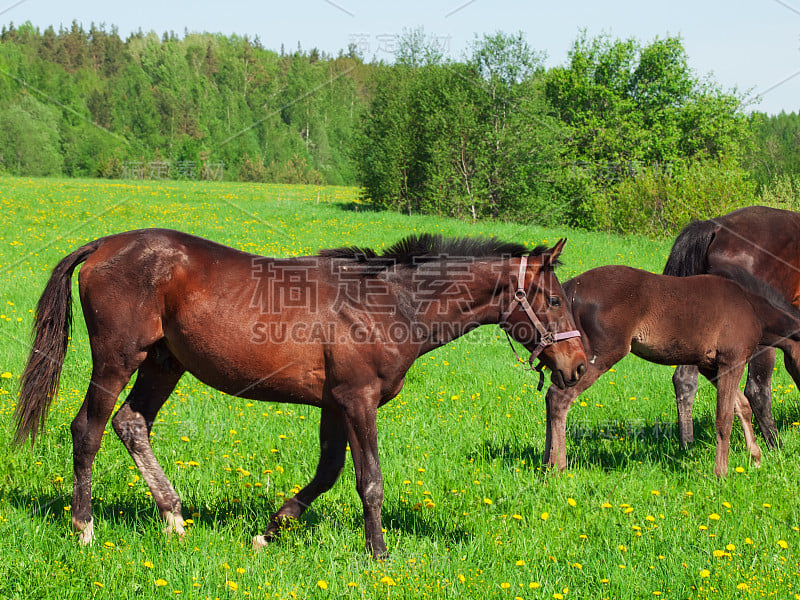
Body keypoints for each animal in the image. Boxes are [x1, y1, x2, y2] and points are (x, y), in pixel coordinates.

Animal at [12, 230, 588, 556]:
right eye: (555, 300)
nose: (579, 366)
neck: (388, 303)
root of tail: (104, 245)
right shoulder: (358, 400)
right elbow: (369, 481)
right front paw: (380, 553)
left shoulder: (334, 405)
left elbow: (328, 472)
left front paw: (271, 529)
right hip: (117, 360)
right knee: (87, 429)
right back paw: (84, 528)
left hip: (164, 363)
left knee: (131, 423)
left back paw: (174, 518)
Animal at [540, 264, 800, 476]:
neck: (751, 307)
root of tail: (570, 289)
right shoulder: (731, 361)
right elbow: (724, 418)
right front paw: (722, 473)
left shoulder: (709, 366)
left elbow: (742, 406)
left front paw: (755, 457)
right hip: (595, 358)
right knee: (559, 397)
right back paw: (558, 467)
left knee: (550, 397)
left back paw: (545, 465)